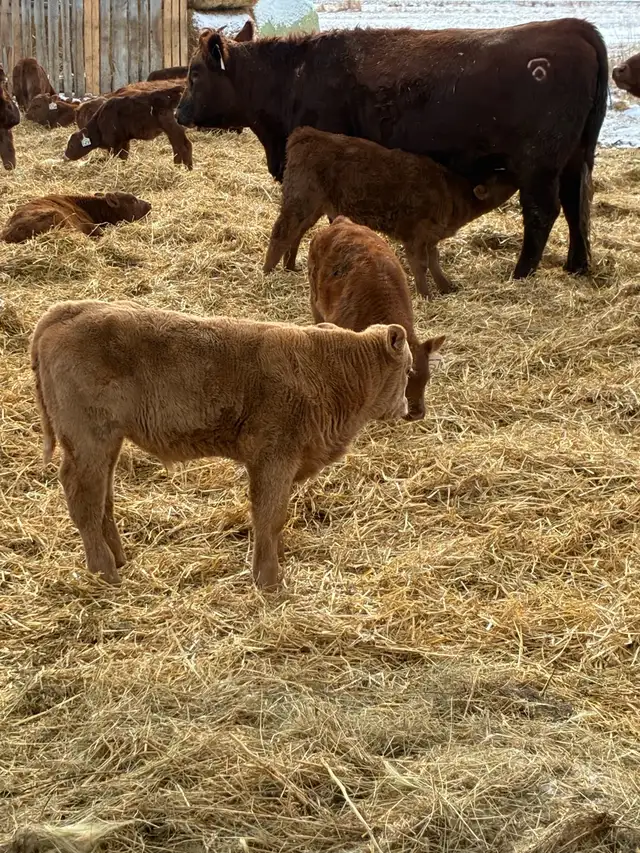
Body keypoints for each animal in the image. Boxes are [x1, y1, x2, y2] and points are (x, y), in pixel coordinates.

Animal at [30, 300, 413, 588]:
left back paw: (119, 559)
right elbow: (270, 516)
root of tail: (72, 309)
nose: (410, 408)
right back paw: (105, 571)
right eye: (409, 371)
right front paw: (269, 580)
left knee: (103, 499)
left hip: (107, 444)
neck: (330, 368)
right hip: (88, 442)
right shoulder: (274, 458)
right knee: (84, 499)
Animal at [64, 85, 192, 168]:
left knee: (183, 146)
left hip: (172, 128)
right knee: (179, 146)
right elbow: (123, 157)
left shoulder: (115, 145)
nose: (65, 155)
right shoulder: (124, 142)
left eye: (71, 145)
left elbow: (117, 157)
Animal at [264, 127, 516, 297]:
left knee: (296, 233)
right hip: (301, 199)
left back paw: (289, 266)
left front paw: (446, 287)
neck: (450, 192)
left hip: (313, 206)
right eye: (499, 176)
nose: (514, 170)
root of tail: (307, 133)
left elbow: (434, 261)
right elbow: (420, 264)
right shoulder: (416, 235)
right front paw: (426, 294)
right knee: (282, 232)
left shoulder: (431, 237)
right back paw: (268, 273)